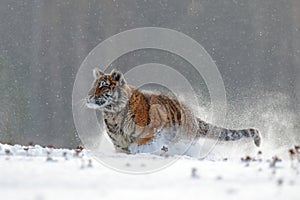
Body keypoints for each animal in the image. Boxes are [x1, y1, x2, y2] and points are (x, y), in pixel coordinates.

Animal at [85, 69, 262, 153]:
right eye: (93, 85)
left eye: (103, 86)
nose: (88, 96)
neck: (112, 114)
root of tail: (194, 117)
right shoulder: (120, 145)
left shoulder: (152, 131)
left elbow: (143, 144)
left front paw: (140, 150)